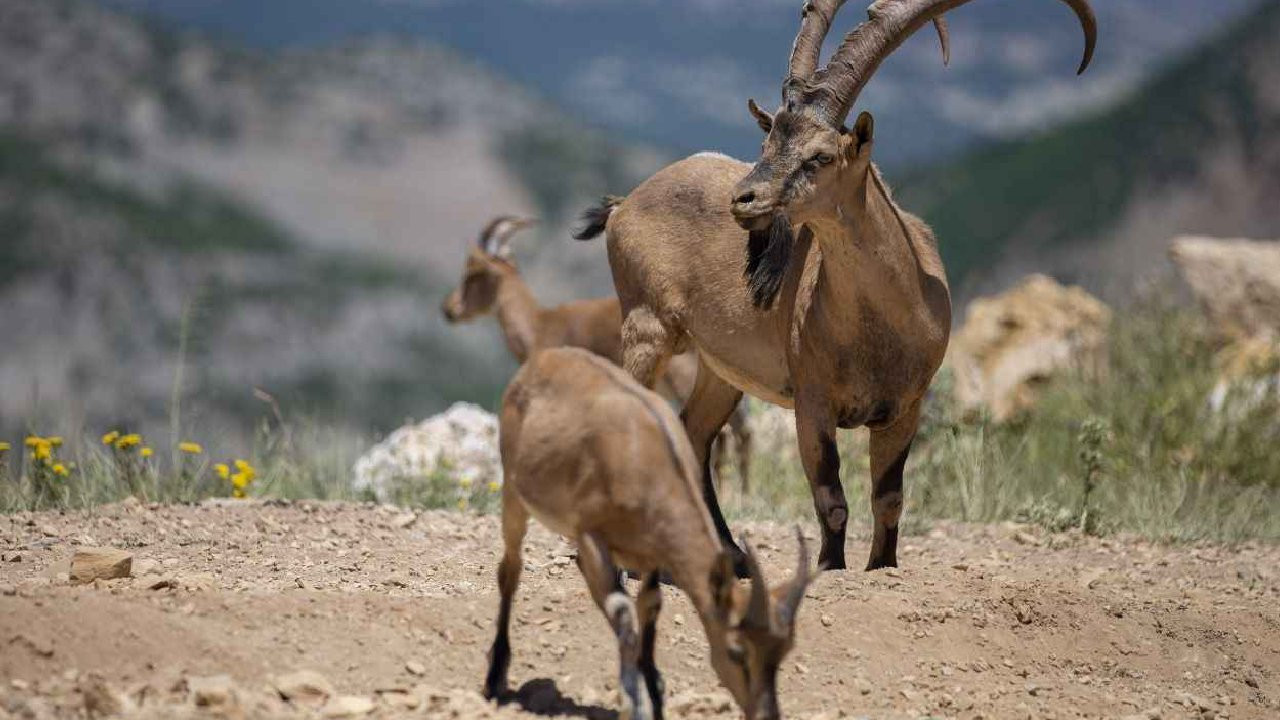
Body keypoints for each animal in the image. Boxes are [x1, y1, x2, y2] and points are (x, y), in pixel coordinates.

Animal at [483, 345, 814, 712]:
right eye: (737, 651)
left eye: (782, 653)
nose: (764, 712)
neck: (648, 464)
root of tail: (540, 360)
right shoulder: (591, 536)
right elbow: (624, 613)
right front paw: (634, 702)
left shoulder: (654, 554)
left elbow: (649, 610)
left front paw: (654, 692)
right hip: (514, 495)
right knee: (510, 570)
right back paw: (495, 677)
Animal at [576, 0, 1095, 571]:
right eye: (767, 142)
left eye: (820, 156)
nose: (744, 200)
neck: (878, 327)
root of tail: (624, 204)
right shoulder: (813, 405)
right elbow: (831, 499)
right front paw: (829, 566)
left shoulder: (904, 408)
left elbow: (888, 498)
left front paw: (881, 566)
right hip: (645, 328)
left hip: (720, 369)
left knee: (692, 434)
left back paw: (728, 554)